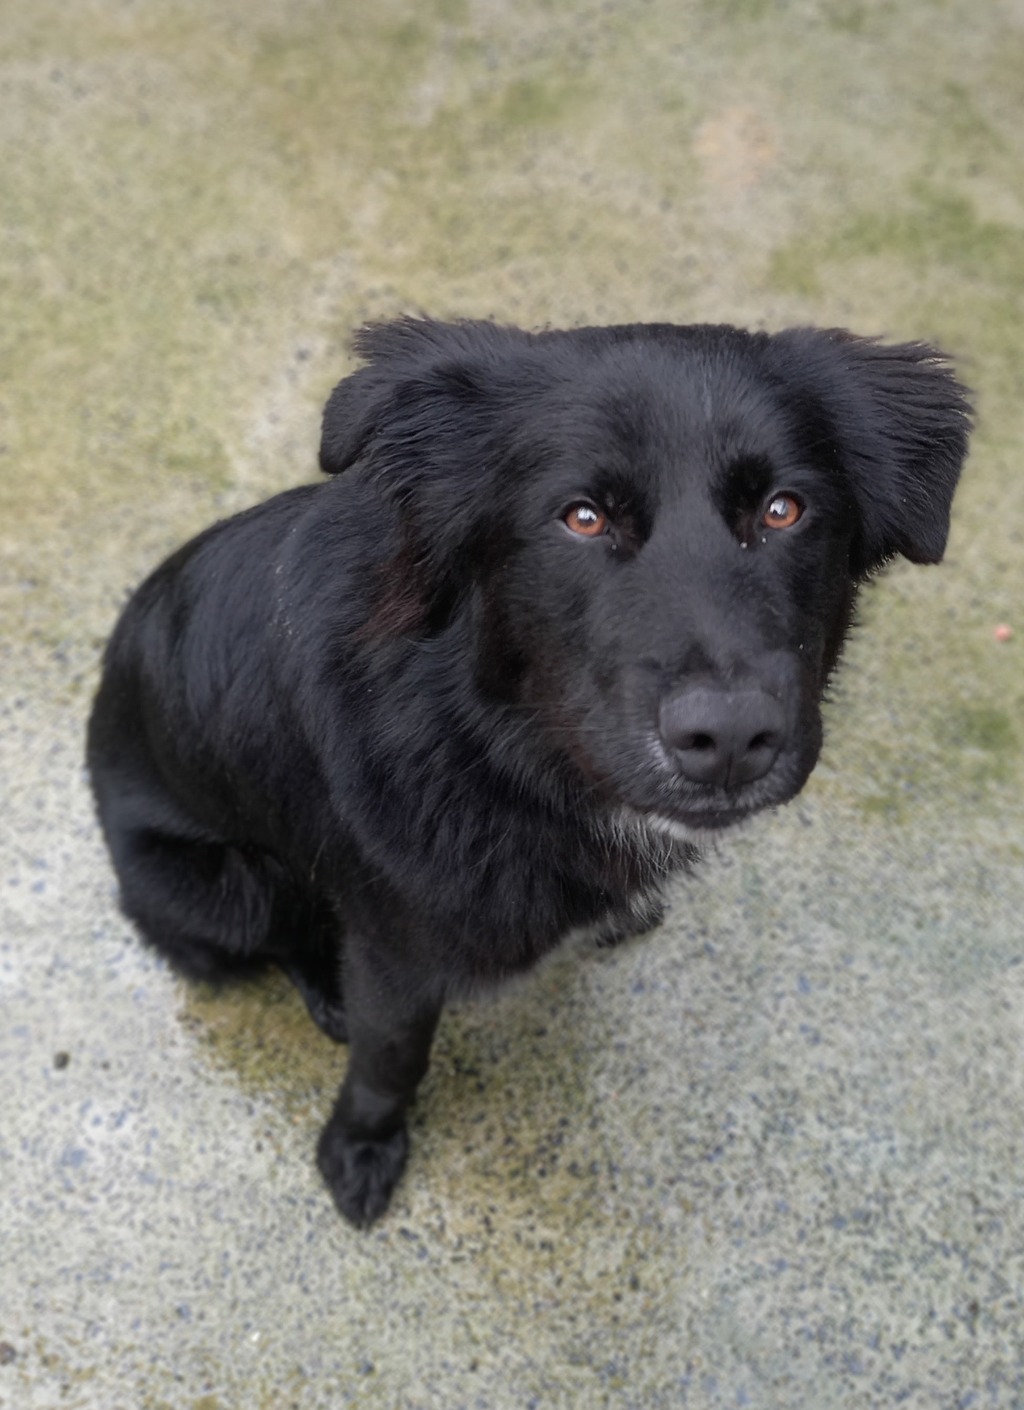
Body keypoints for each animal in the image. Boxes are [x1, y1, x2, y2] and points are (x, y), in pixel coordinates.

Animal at [87, 317, 971, 1226]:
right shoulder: (393, 954)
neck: (496, 751)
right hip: (221, 889)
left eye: (783, 509)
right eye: (581, 517)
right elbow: (389, 1058)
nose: (728, 739)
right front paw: (362, 1143)